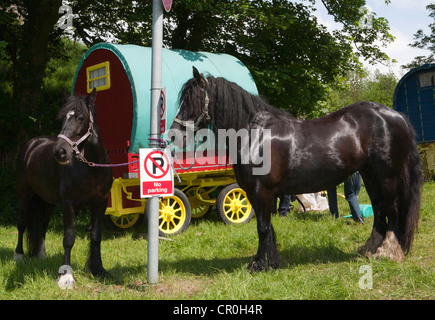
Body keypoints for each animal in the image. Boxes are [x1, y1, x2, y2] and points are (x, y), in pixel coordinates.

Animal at [15, 89, 113, 284]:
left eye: (81, 118)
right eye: (61, 118)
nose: (60, 152)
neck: (91, 169)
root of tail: (32, 144)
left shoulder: (100, 204)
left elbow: (96, 237)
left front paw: (98, 270)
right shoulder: (69, 205)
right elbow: (68, 239)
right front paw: (66, 276)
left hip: (47, 201)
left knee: (42, 224)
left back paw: (41, 256)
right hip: (25, 195)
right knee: (21, 223)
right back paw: (19, 257)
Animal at [170, 67, 422, 272]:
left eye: (192, 100)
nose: (173, 135)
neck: (255, 135)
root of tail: (396, 115)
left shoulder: (262, 191)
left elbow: (262, 227)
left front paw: (258, 265)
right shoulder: (255, 193)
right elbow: (267, 227)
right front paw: (271, 262)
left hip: (388, 176)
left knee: (393, 210)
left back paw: (389, 252)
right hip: (370, 175)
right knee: (379, 210)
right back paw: (368, 249)